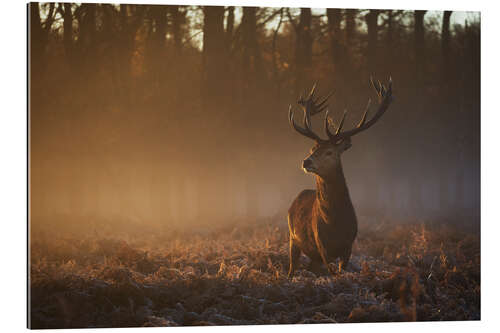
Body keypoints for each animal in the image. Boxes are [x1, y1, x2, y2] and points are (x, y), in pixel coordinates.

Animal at [288, 77, 392, 274]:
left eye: (329, 152)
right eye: (312, 149)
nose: (306, 162)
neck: (335, 225)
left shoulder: (348, 247)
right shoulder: (322, 247)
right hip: (292, 239)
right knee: (292, 267)